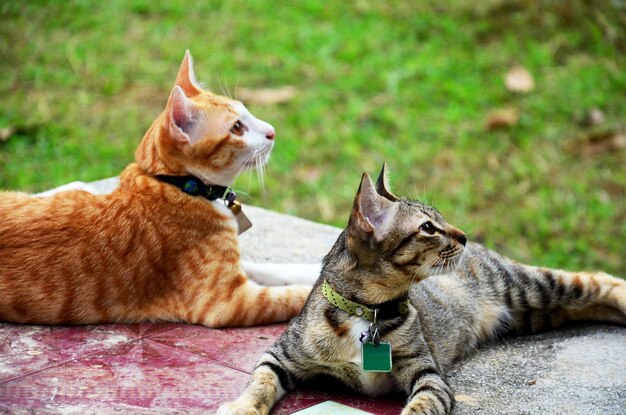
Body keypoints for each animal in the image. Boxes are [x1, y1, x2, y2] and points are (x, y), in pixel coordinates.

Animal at [0, 50, 314, 328]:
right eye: (237, 128)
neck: (180, 185)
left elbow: (270, 268)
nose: (272, 131)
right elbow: (295, 296)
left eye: (246, 112)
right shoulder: (228, 302)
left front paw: (308, 269)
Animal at [218, 166, 624, 415]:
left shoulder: (428, 375)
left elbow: (422, 404)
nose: (464, 236)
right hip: (537, 312)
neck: (366, 313)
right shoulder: (280, 356)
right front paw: (242, 406)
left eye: (439, 220)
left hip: (532, 288)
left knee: (600, 279)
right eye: (428, 227)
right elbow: (260, 382)